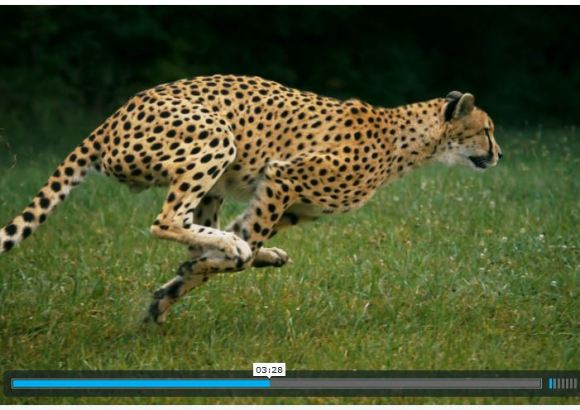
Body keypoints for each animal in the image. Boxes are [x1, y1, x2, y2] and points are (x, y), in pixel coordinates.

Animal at [0, 74, 500, 324]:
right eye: (488, 130)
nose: (500, 154)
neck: (409, 142)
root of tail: (114, 116)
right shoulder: (283, 177)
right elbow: (240, 249)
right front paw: (211, 265)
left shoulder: (283, 201)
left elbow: (226, 249)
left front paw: (168, 295)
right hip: (214, 138)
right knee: (168, 220)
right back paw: (230, 248)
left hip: (214, 181)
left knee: (196, 226)